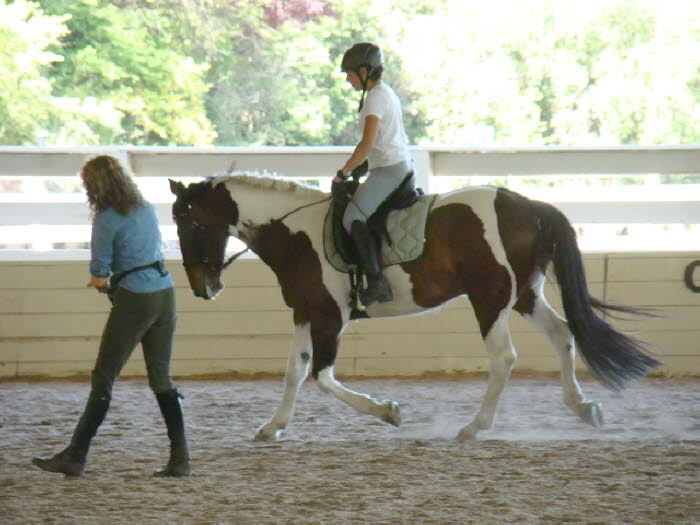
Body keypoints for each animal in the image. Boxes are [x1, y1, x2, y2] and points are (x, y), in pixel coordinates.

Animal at [170, 174, 660, 440]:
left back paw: (473, 427)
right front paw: (272, 427)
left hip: (490, 297)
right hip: (524, 295)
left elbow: (323, 377)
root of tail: (525, 203)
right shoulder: (305, 312)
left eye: (189, 225)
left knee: (504, 358)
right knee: (562, 335)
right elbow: (294, 371)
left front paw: (387, 411)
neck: (295, 233)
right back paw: (582, 407)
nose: (202, 287)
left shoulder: (331, 317)